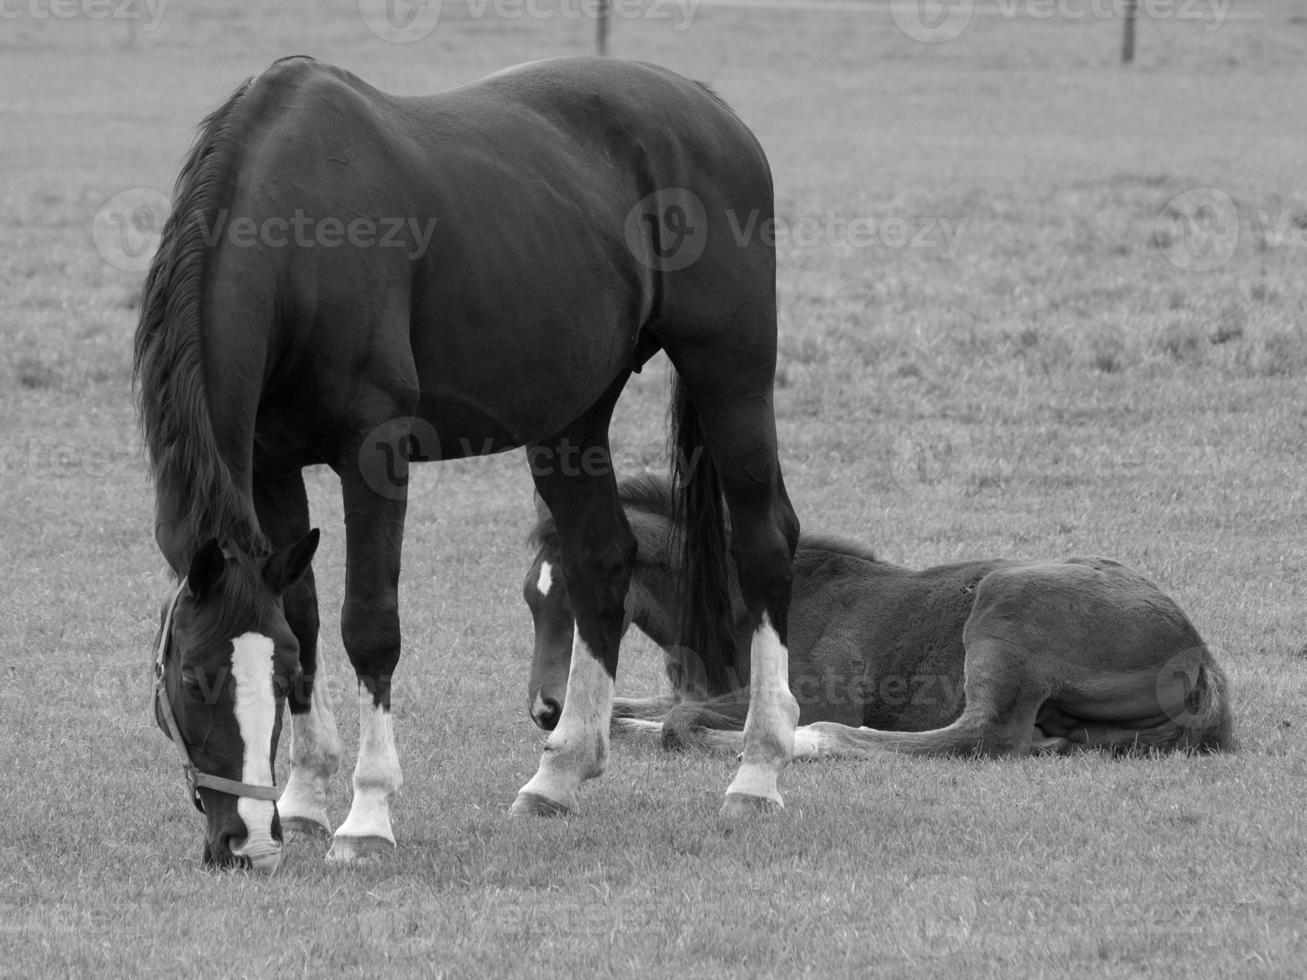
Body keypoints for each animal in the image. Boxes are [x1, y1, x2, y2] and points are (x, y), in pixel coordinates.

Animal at [137, 55, 799, 867]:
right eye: (192, 679)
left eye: (217, 678)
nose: (247, 843)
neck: (301, 235)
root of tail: (710, 110)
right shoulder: (270, 468)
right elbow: (306, 613)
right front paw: (303, 800)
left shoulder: (373, 451)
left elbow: (369, 625)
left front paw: (365, 816)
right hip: (572, 415)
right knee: (602, 561)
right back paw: (559, 775)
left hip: (731, 377)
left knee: (764, 545)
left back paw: (757, 773)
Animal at [522, 480, 1233, 763]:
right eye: (530, 599)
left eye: (583, 603)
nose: (544, 707)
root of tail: (1199, 654)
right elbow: (637, 712)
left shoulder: (810, 691)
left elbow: (681, 725)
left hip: (1004, 611)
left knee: (983, 735)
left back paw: (815, 741)